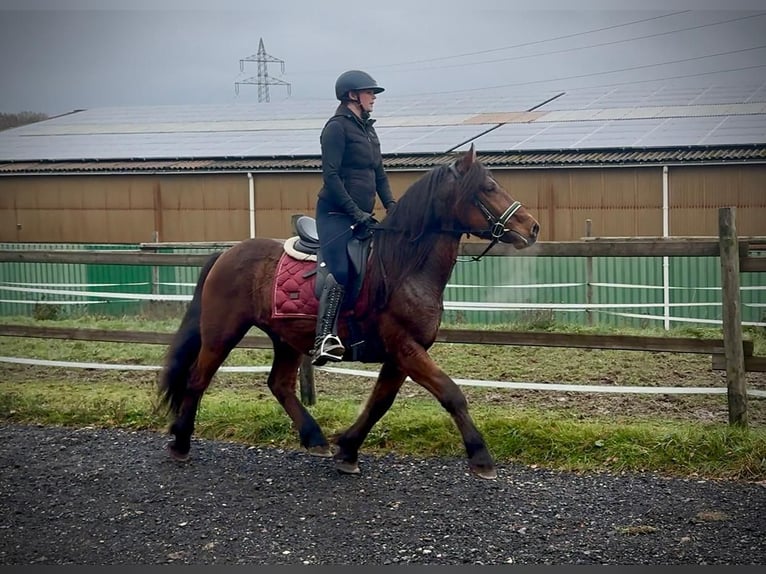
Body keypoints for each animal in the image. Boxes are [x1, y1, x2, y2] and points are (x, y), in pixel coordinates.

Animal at [158, 144, 540, 480]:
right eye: (488, 187)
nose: (532, 227)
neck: (404, 267)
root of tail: (226, 253)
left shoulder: (401, 354)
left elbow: (379, 403)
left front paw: (348, 450)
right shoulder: (405, 347)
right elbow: (451, 393)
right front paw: (481, 458)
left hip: (286, 339)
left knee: (279, 384)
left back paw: (315, 439)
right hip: (222, 333)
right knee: (197, 379)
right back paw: (180, 443)